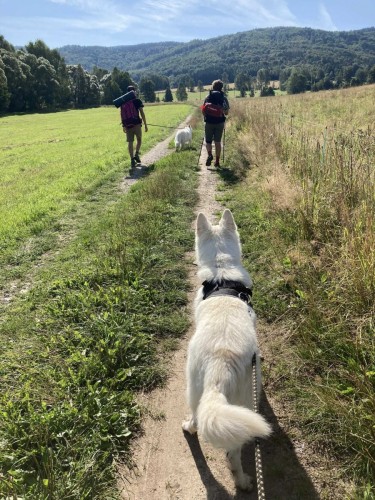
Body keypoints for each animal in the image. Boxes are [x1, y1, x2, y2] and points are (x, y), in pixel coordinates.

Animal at [184, 209, 272, 490]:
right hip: (242, 401)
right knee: (233, 453)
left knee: (197, 421)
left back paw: (188, 427)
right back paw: (243, 481)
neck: (221, 272)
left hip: (192, 388)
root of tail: (220, 367)